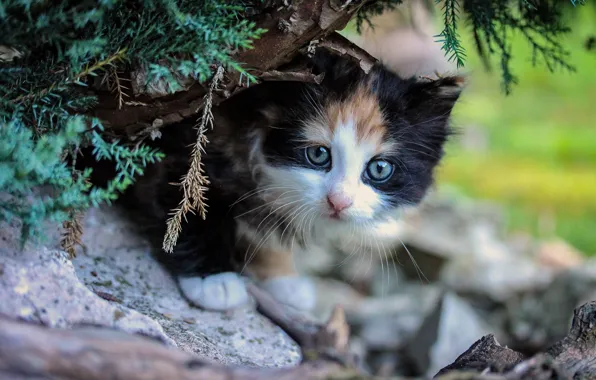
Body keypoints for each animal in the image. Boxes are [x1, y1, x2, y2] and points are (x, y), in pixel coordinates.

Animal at [113, 51, 466, 312]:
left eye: (380, 169)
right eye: (319, 155)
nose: (339, 201)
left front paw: (280, 275)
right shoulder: (183, 151)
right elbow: (189, 209)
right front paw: (214, 279)